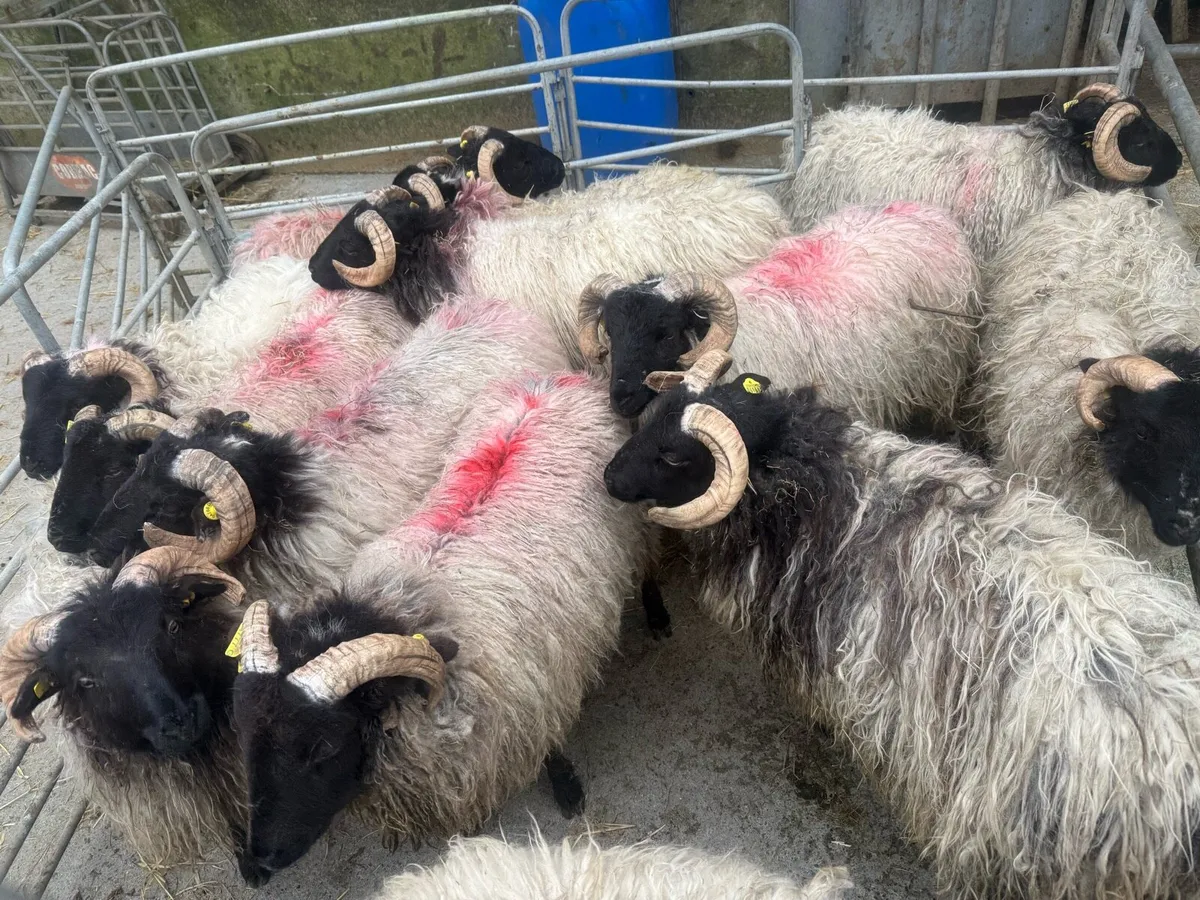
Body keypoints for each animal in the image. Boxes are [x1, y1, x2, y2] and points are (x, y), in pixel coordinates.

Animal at [229, 371, 650, 884]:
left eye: (322, 748)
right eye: (245, 738)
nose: (262, 856)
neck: (402, 606)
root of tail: (551, 383)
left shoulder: (542, 688)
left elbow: (553, 745)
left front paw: (567, 788)